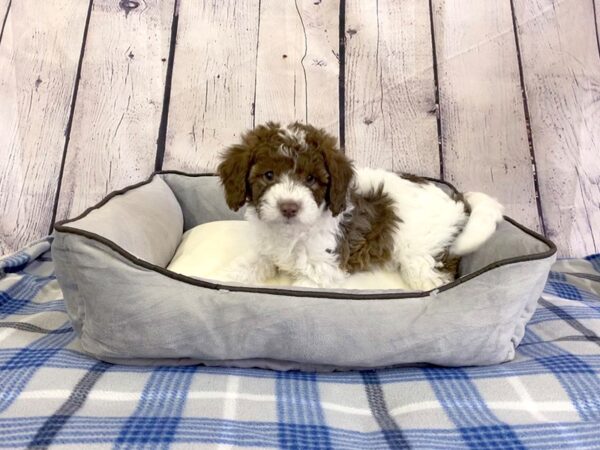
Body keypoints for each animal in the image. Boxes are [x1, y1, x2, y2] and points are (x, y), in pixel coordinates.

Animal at [218, 121, 504, 290]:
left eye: (311, 179)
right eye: (268, 175)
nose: (289, 207)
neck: (291, 231)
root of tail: (457, 198)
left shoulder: (322, 271)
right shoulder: (265, 251)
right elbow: (246, 267)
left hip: (423, 257)